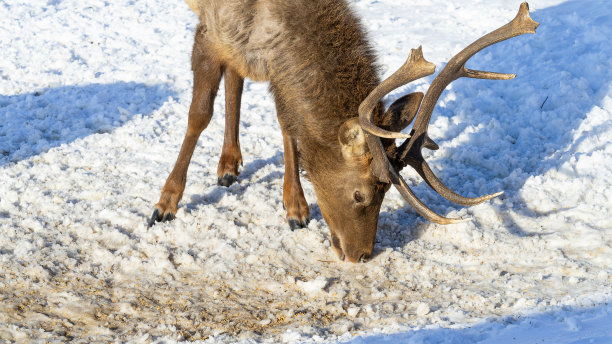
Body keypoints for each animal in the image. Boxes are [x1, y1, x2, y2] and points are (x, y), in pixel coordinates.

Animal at [147, 0, 536, 264]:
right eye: (359, 194)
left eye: (386, 192)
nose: (362, 255)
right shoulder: (209, 29)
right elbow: (198, 115)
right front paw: (166, 203)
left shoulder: (269, 62)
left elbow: (287, 125)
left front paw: (295, 208)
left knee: (236, 76)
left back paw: (229, 164)